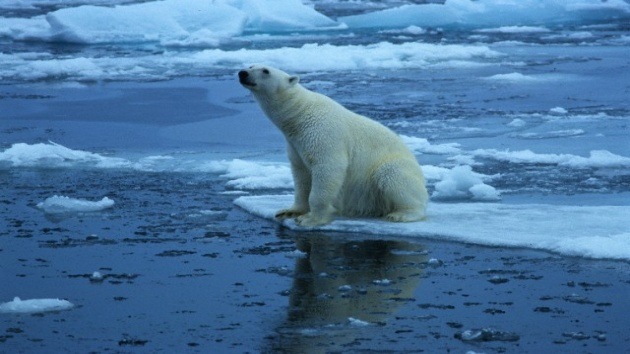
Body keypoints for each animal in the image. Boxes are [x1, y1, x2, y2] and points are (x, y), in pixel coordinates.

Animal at [238, 65, 430, 227]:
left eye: (265, 70)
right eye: (250, 65)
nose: (242, 73)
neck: (299, 115)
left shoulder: (323, 133)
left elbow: (328, 168)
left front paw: (311, 219)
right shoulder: (295, 144)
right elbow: (301, 175)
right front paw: (289, 211)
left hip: (393, 168)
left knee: (392, 176)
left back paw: (401, 214)